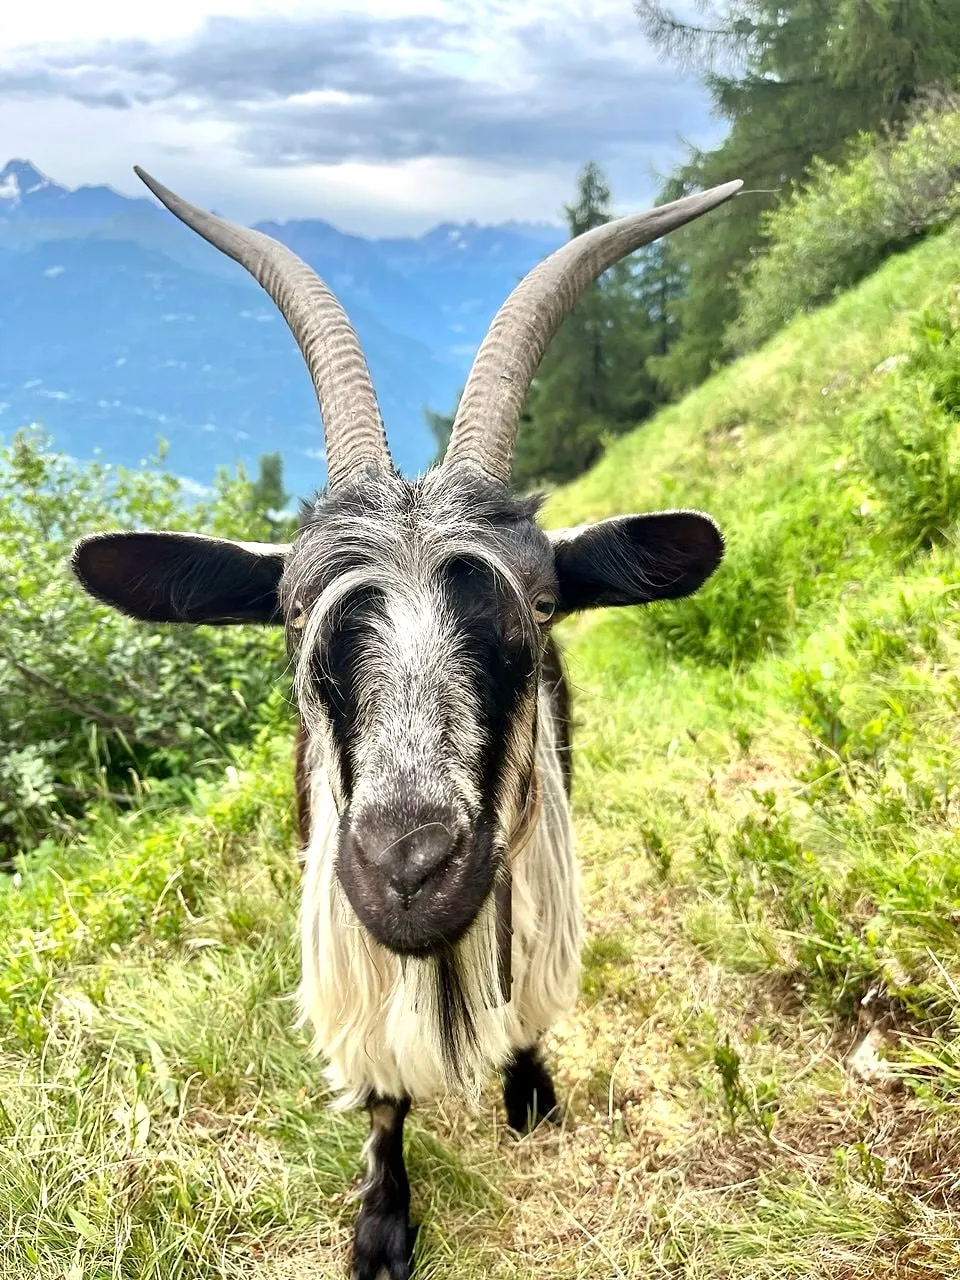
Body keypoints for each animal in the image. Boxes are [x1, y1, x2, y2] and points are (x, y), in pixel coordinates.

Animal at [72, 167, 741, 1279]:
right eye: (296, 612)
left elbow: (529, 1001)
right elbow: (381, 1088)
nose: (409, 866)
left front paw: (529, 1090)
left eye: (541, 607)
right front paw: (382, 1227)